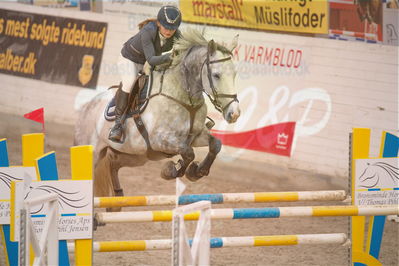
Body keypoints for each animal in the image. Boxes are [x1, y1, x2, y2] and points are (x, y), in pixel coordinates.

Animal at [74, 27, 241, 206]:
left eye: (235, 74)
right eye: (216, 75)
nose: (234, 113)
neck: (184, 99)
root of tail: (86, 106)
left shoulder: (195, 136)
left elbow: (215, 144)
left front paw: (197, 171)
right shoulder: (160, 140)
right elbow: (188, 153)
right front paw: (171, 171)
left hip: (134, 156)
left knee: (113, 164)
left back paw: (117, 199)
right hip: (93, 152)